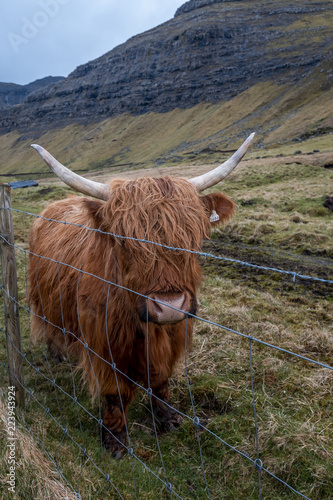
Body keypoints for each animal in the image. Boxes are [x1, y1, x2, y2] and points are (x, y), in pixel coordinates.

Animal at [29, 132, 254, 458]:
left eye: (194, 237)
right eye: (123, 240)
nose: (169, 307)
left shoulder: (172, 335)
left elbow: (160, 381)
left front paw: (168, 419)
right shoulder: (104, 343)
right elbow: (115, 393)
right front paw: (115, 439)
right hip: (43, 298)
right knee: (51, 326)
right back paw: (57, 354)